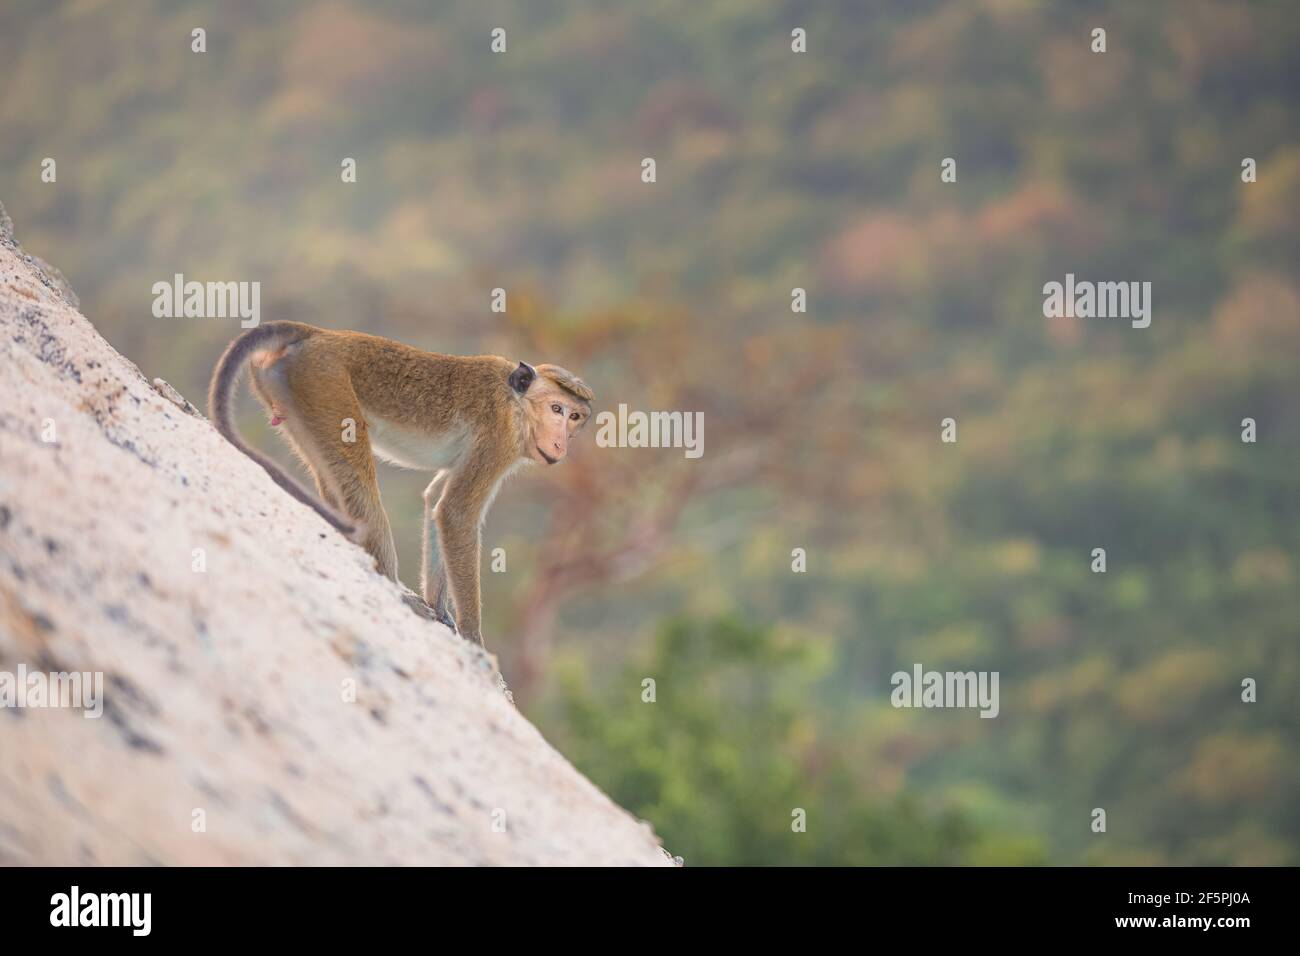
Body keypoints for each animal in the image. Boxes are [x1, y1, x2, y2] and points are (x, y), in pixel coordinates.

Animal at [208, 320, 593, 647]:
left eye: (575, 416)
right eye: (556, 409)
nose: (562, 444)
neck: (517, 402)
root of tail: (317, 334)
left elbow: (437, 500)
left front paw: (439, 610)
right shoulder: (500, 435)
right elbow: (455, 513)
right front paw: (473, 640)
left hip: (291, 392)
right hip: (325, 384)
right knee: (356, 478)